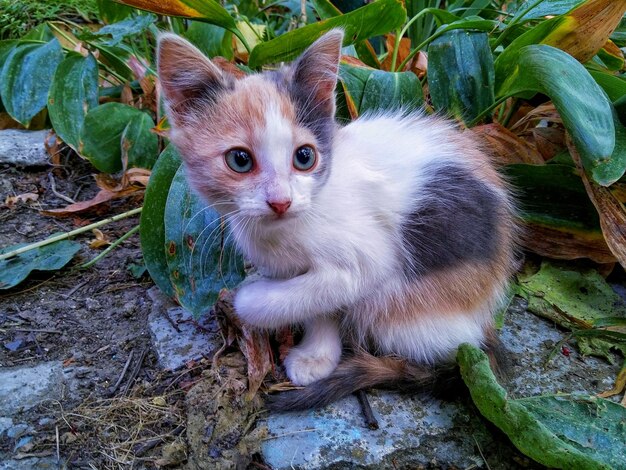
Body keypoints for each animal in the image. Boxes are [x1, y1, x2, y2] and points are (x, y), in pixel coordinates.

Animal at [157, 30, 516, 412]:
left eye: (304, 157)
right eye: (240, 160)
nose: (281, 201)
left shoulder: (370, 259)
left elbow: (325, 289)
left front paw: (251, 298)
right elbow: (319, 300)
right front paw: (318, 355)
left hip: (401, 308)